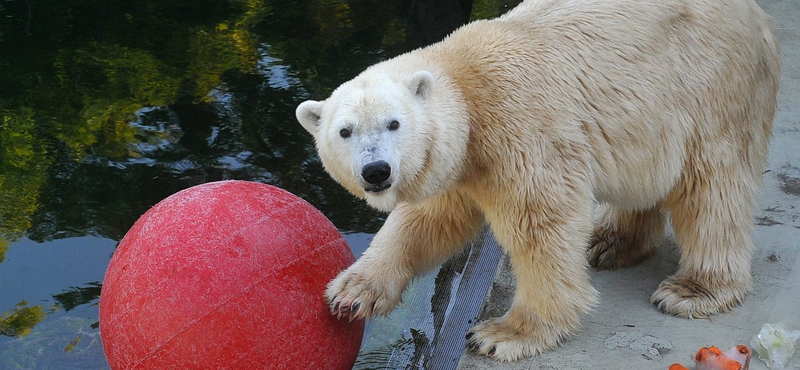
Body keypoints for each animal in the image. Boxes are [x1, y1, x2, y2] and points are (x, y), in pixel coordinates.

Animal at [294, 0, 776, 362]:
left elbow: (542, 224)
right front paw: (351, 293)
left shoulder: (519, 125)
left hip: (709, 82)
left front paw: (504, 334)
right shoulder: (460, 163)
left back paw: (693, 289)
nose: (376, 170)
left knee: (712, 183)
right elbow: (427, 222)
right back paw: (609, 242)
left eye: (394, 123)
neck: (465, 79)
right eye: (345, 131)